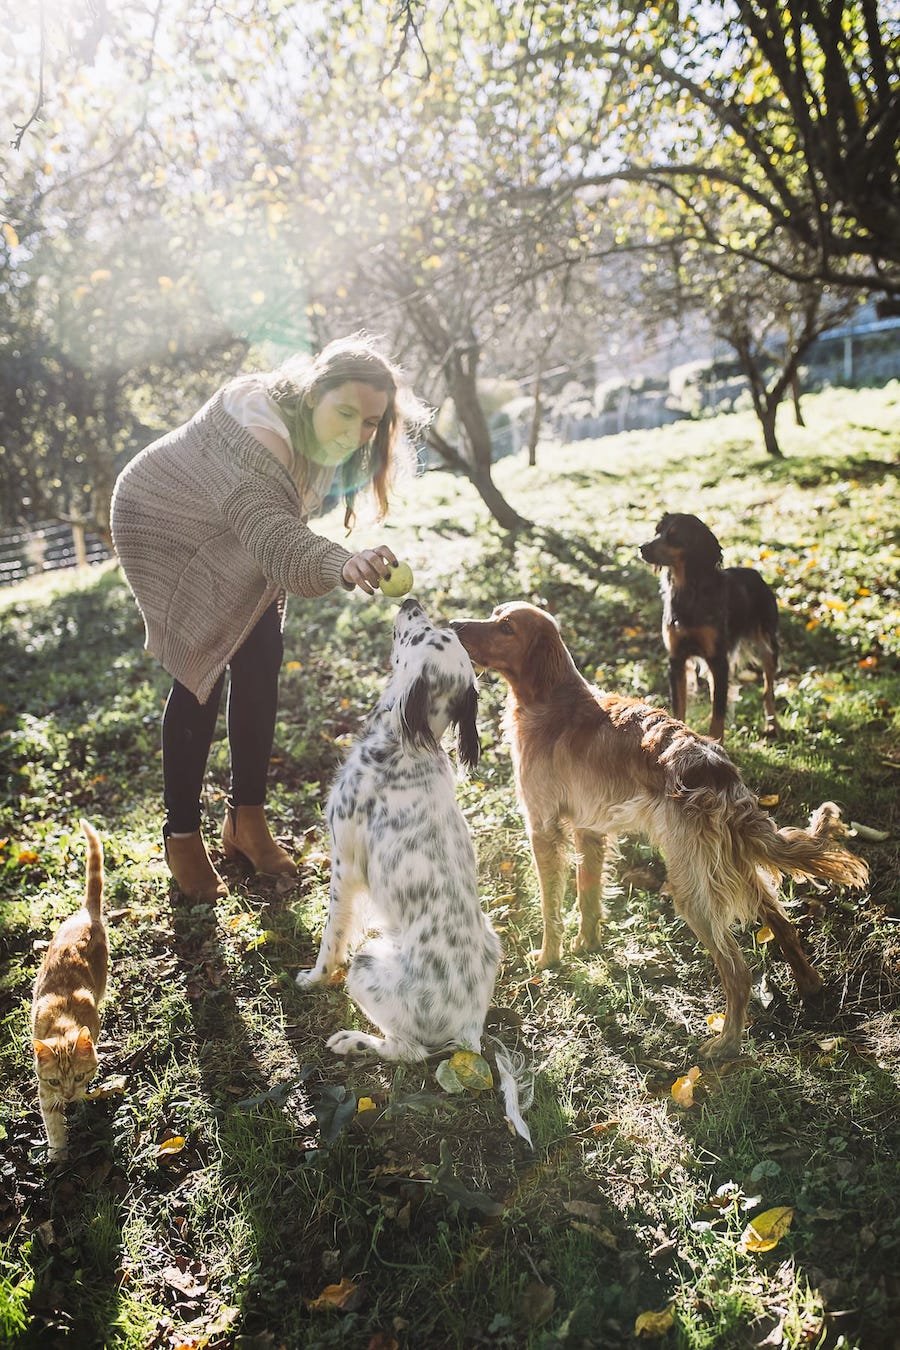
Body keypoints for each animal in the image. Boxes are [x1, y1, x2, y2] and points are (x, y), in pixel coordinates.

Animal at [299, 602, 504, 1063]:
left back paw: (353, 1040)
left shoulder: (344, 866)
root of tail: (470, 1028)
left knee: (407, 1050)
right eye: (441, 630)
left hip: (367, 966)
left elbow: (331, 936)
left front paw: (314, 977)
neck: (405, 744)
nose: (411, 603)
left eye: (424, 634)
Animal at [453, 607, 868, 1058]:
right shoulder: (588, 830)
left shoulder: (543, 829)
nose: (455, 626)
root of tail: (719, 772)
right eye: (494, 616)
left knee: (737, 970)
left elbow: (550, 908)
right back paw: (809, 986)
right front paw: (586, 946)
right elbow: (588, 897)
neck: (551, 697)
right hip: (730, 868)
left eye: (506, 627)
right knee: (784, 925)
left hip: (691, 889)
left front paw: (549, 958)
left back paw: (725, 1044)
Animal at [639, 510, 782, 739]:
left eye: (674, 535)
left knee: (767, 690)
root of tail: (756, 574)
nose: (642, 547)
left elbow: (718, 715)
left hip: (768, 646)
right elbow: (681, 709)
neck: (688, 593)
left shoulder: (718, 660)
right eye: (657, 531)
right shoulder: (677, 660)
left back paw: (772, 725)